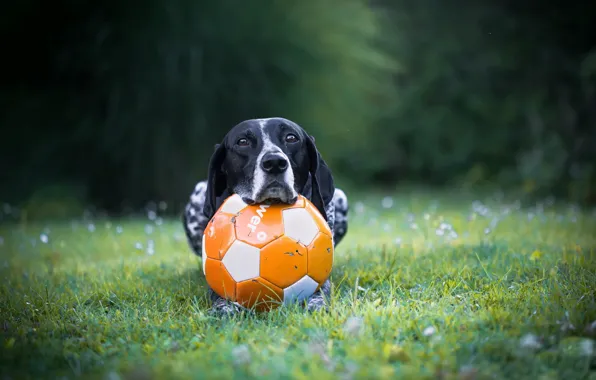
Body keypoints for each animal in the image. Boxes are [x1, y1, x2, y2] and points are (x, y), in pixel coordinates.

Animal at [183, 116, 350, 314]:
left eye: (291, 138)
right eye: (243, 142)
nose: (275, 162)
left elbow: (320, 287)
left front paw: (315, 304)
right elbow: (220, 290)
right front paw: (225, 307)